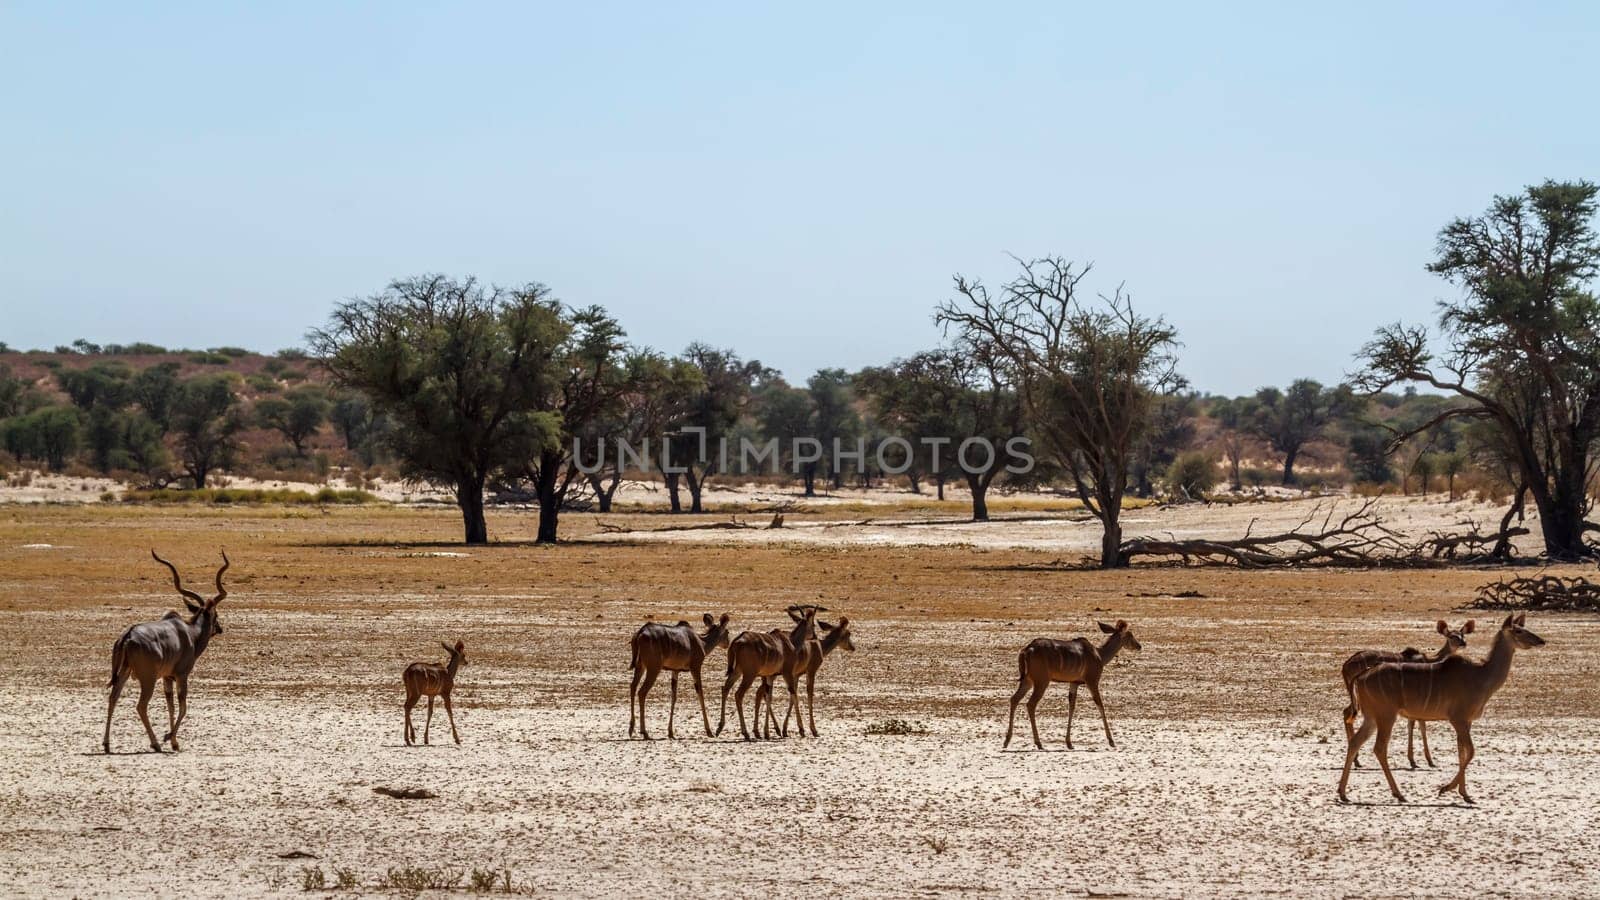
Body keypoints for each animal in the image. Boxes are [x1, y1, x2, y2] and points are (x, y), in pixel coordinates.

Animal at [104, 547, 232, 749]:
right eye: (216, 614)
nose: (219, 629)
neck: (188, 632)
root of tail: (128, 636)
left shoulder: (167, 678)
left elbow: (171, 706)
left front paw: (173, 741)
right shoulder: (181, 675)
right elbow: (183, 707)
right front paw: (169, 739)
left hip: (124, 673)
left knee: (113, 698)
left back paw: (106, 744)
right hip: (147, 679)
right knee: (141, 705)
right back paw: (155, 743)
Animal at [630, 608, 736, 736]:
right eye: (727, 632)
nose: (727, 644)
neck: (702, 642)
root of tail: (640, 633)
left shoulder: (675, 671)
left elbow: (674, 696)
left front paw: (670, 732)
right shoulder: (696, 667)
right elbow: (700, 693)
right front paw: (709, 730)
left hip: (640, 666)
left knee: (633, 687)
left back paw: (631, 729)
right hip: (653, 668)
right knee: (642, 692)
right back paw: (644, 731)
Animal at [998, 614, 1139, 749]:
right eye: (1130, 635)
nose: (1139, 646)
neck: (1099, 654)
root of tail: (1027, 650)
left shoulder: (1074, 683)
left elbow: (1072, 706)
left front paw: (1069, 743)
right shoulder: (1092, 681)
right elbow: (1100, 705)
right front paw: (1111, 741)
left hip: (1028, 681)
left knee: (1014, 699)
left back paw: (1007, 741)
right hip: (1041, 682)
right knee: (1030, 704)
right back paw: (1038, 743)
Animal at [1337, 621, 1472, 768]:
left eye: (1462, 634)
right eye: (1452, 636)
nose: (1464, 643)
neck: (1429, 660)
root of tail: (1345, 666)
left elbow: (1413, 724)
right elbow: (1419, 725)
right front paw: (1423, 761)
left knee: (1346, 712)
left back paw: (1356, 760)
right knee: (1348, 713)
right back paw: (1356, 759)